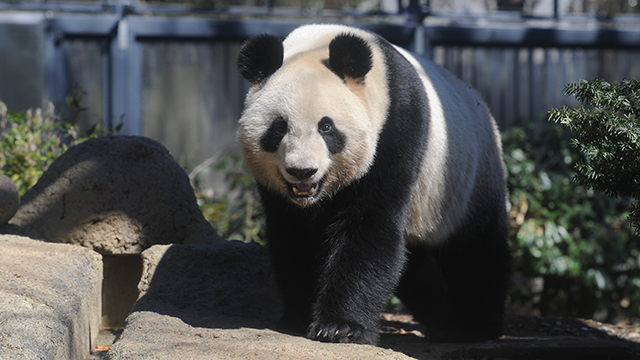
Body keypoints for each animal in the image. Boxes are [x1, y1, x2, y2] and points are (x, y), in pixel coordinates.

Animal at [235, 23, 510, 344]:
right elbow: (290, 236)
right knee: (414, 267)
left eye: (326, 127)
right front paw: (297, 316)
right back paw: (438, 314)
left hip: (466, 181)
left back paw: (471, 326)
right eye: (278, 128)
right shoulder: (277, 193)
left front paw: (339, 327)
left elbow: (370, 226)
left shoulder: (396, 128)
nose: (302, 171)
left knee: (477, 252)